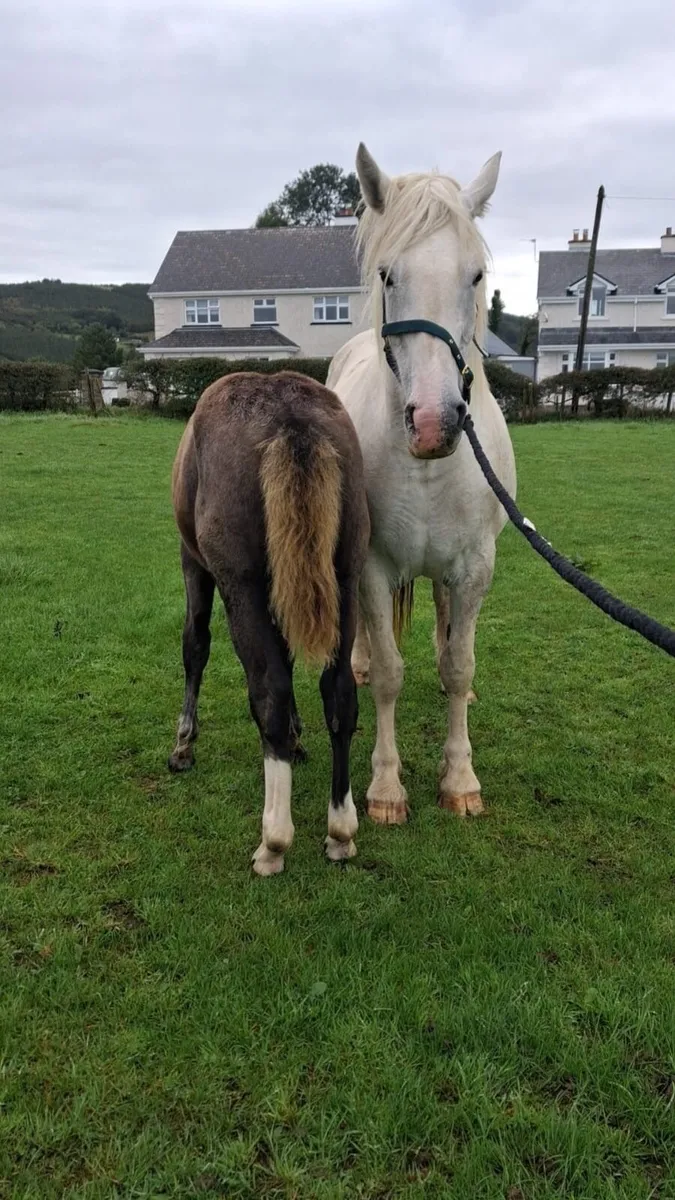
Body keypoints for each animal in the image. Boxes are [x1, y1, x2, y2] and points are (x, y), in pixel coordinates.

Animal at [168, 371, 370, 875]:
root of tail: (290, 421)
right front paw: (297, 740)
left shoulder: (193, 563)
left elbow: (195, 645)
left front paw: (183, 744)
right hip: (345, 579)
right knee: (340, 694)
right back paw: (340, 831)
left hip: (244, 589)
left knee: (269, 693)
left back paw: (274, 840)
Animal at [326, 144, 516, 824]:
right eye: (388, 275)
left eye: (476, 277)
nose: (436, 422)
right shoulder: (373, 566)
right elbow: (388, 671)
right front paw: (385, 787)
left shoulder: (474, 566)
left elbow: (459, 664)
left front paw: (459, 778)